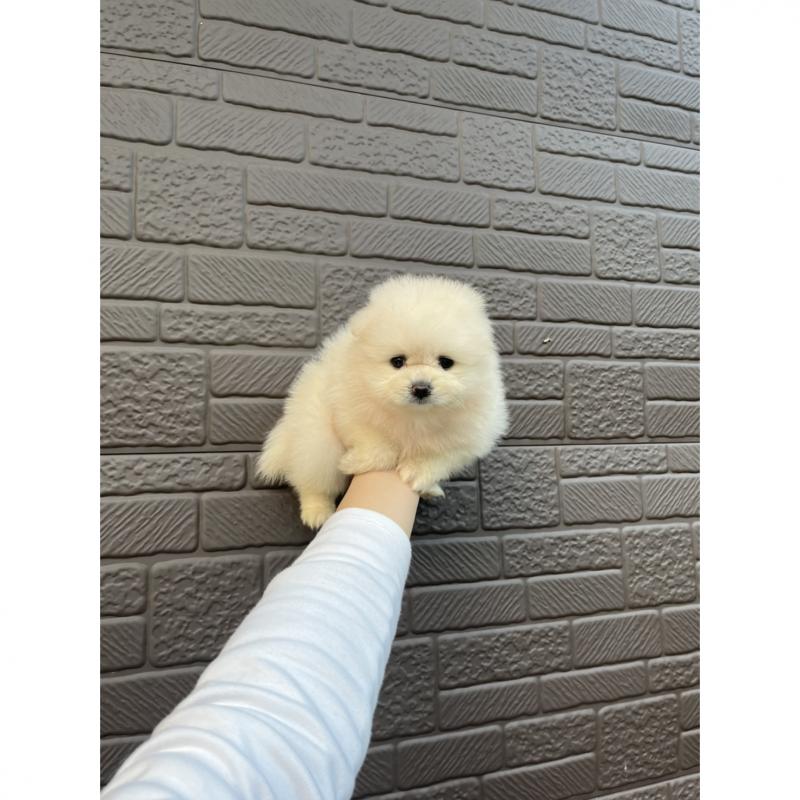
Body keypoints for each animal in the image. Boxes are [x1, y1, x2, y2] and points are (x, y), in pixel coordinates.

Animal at [256, 274, 509, 528]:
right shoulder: (349, 407)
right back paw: (316, 511)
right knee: (312, 479)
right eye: (397, 361)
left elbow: (441, 456)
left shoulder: (470, 432)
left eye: (446, 362)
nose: (421, 388)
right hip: (316, 439)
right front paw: (357, 462)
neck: (415, 416)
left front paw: (417, 473)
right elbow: (375, 442)